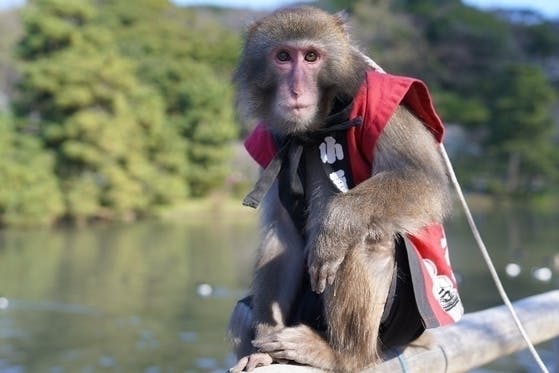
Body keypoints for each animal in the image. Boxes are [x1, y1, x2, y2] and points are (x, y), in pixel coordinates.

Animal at [228, 6, 464, 372]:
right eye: (283, 57)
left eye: (311, 57)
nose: (295, 91)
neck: (315, 128)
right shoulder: (270, 138)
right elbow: (282, 232)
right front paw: (263, 344)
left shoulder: (389, 108)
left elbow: (425, 183)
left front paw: (335, 224)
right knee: (244, 310)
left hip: (400, 329)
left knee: (369, 238)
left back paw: (342, 354)